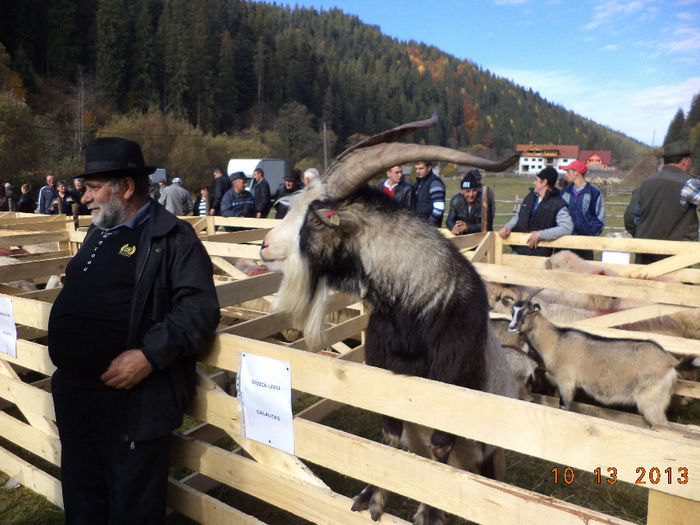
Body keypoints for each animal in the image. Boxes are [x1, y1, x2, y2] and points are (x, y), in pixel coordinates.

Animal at [262, 114, 524, 524]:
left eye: (316, 221)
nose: (265, 246)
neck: (418, 307)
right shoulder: (386, 380)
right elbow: (390, 440)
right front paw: (372, 496)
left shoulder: (448, 393)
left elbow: (438, 451)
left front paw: (430, 513)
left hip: (491, 457)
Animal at [508, 290, 700, 426]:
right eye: (513, 311)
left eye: (527, 313)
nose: (511, 327)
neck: (555, 341)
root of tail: (671, 362)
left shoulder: (565, 382)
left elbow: (564, 408)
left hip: (651, 401)